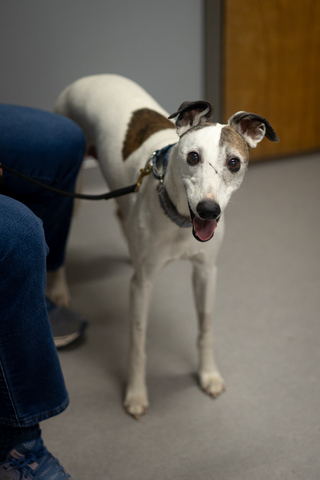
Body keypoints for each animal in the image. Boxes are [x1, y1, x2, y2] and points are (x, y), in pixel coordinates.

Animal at [52, 74, 278, 416]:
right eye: (193, 157)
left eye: (234, 163)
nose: (209, 210)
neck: (180, 221)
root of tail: (90, 77)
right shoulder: (142, 285)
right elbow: (138, 341)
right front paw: (135, 393)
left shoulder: (205, 272)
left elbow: (205, 329)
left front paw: (208, 375)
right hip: (70, 190)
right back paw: (59, 290)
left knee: (120, 213)